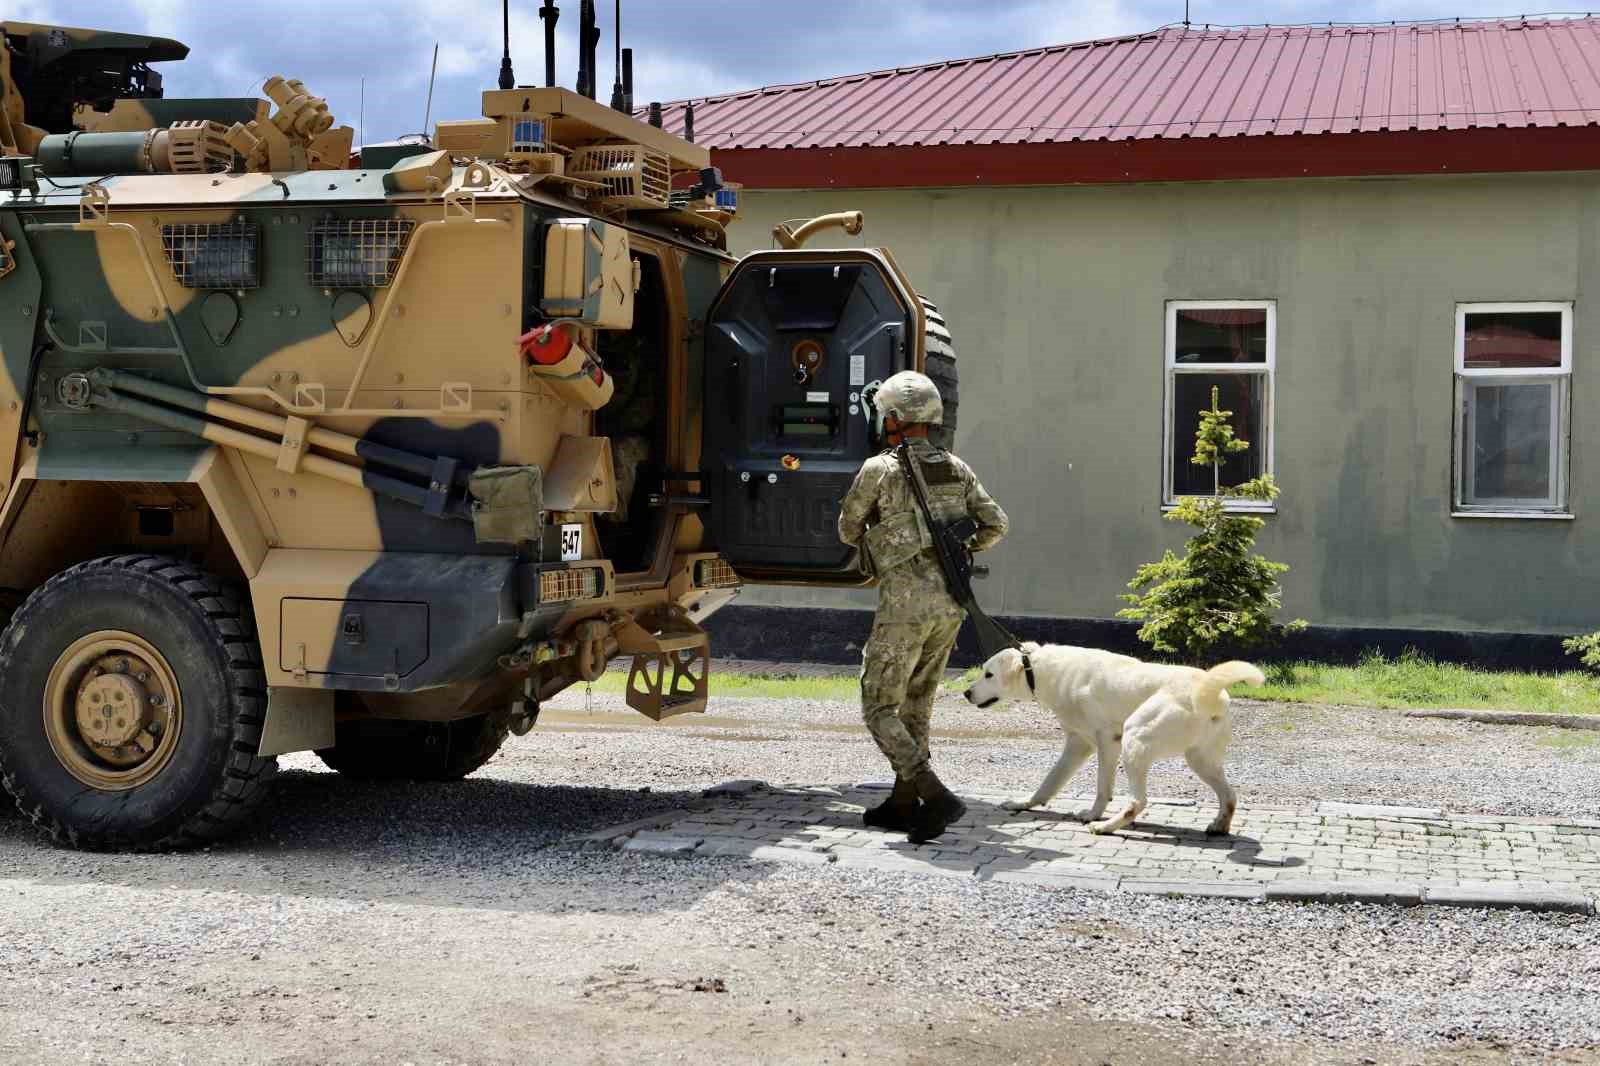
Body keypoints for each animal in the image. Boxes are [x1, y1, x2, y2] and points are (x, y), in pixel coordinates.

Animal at [960, 643, 1260, 832]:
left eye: (988, 674)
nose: (966, 693)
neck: (1045, 670)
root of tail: (1211, 690)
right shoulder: (1077, 744)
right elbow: (1049, 782)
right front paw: (1025, 804)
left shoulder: (1106, 740)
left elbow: (1103, 788)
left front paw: (1093, 814)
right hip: (1200, 759)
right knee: (1230, 796)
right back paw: (1220, 826)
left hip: (1133, 738)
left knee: (1138, 802)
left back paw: (1105, 826)